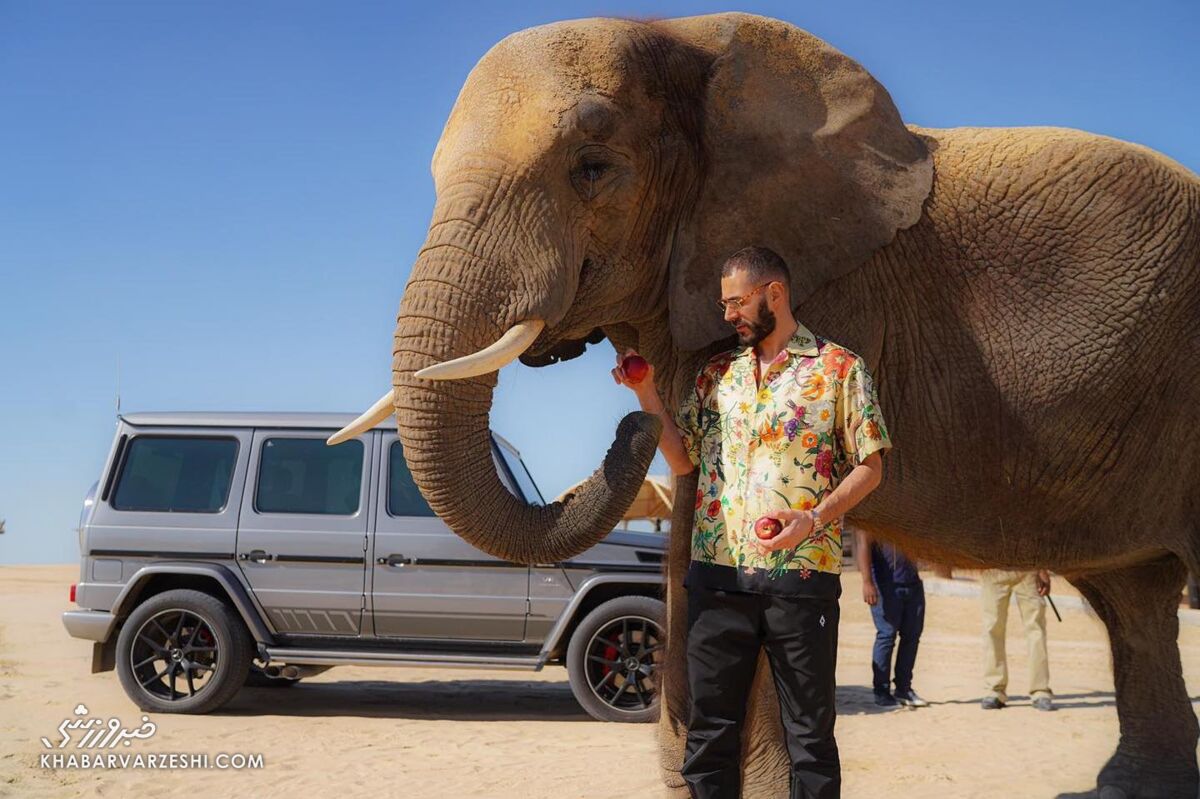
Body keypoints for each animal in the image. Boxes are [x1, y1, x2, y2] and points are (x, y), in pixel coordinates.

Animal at [328, 12, 1200, 796]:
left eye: (592, 167)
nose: (628, 417)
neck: (686, 39)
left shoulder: (836, 290)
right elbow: (692, 523)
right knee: (1136, 599)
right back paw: (1127, 788)